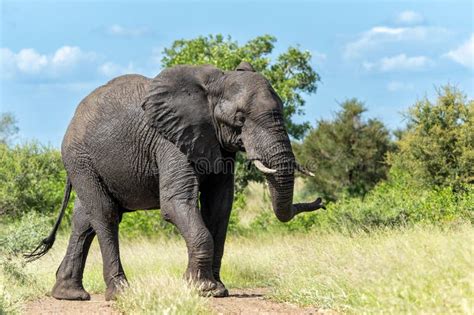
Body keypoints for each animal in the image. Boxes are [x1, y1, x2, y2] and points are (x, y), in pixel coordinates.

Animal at [24, 61, 324, 302]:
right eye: (239, 118)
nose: (320, 202)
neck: (214, 83)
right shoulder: (170, 141)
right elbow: (175, 203)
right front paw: (202, 289)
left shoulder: (217, 145)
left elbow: (219, 208)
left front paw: (216, 289)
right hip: (79, 158)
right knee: (104, 215)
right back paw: (120, 294)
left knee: (84, 219)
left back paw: (69, 295)